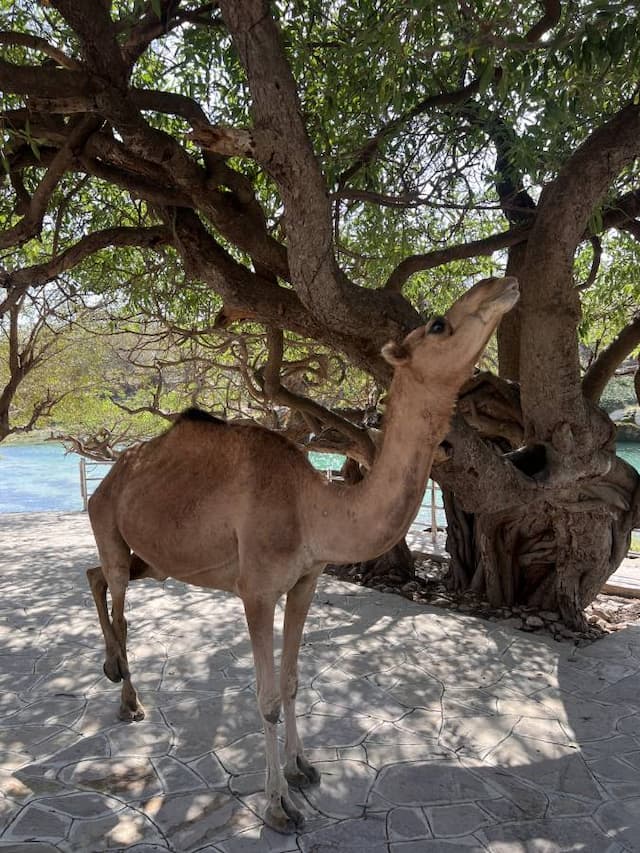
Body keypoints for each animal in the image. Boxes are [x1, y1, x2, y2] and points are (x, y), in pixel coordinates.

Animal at [86, 274, 520, 832]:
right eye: (439, 324)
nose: (502, 284)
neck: (315, 508)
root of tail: (108, 478)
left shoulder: (305, 581)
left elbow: (292, 682)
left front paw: (303, 769)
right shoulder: (257, 590)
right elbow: (268, 696)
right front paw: (278, 806)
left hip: (156, 561)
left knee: (96, 574)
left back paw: (113, 671)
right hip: (109, 523)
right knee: (118, 597)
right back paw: (129, 701)